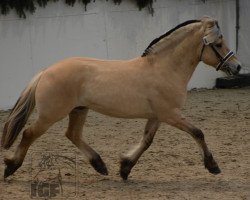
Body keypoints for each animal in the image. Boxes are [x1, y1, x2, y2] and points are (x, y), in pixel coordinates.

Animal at [0, 16, 241, 180]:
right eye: (219, 44)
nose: (237, 67)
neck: (164, 68)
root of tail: (46, 71)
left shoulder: (157, 116)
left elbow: (146, 141)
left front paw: (125, 168)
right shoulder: (170, 114)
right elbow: (198, 133)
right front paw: (213, 166)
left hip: (79, 110)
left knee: (72, 135)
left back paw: (100, 166)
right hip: (51, 115)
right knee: (29, 134)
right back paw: (11, 167)